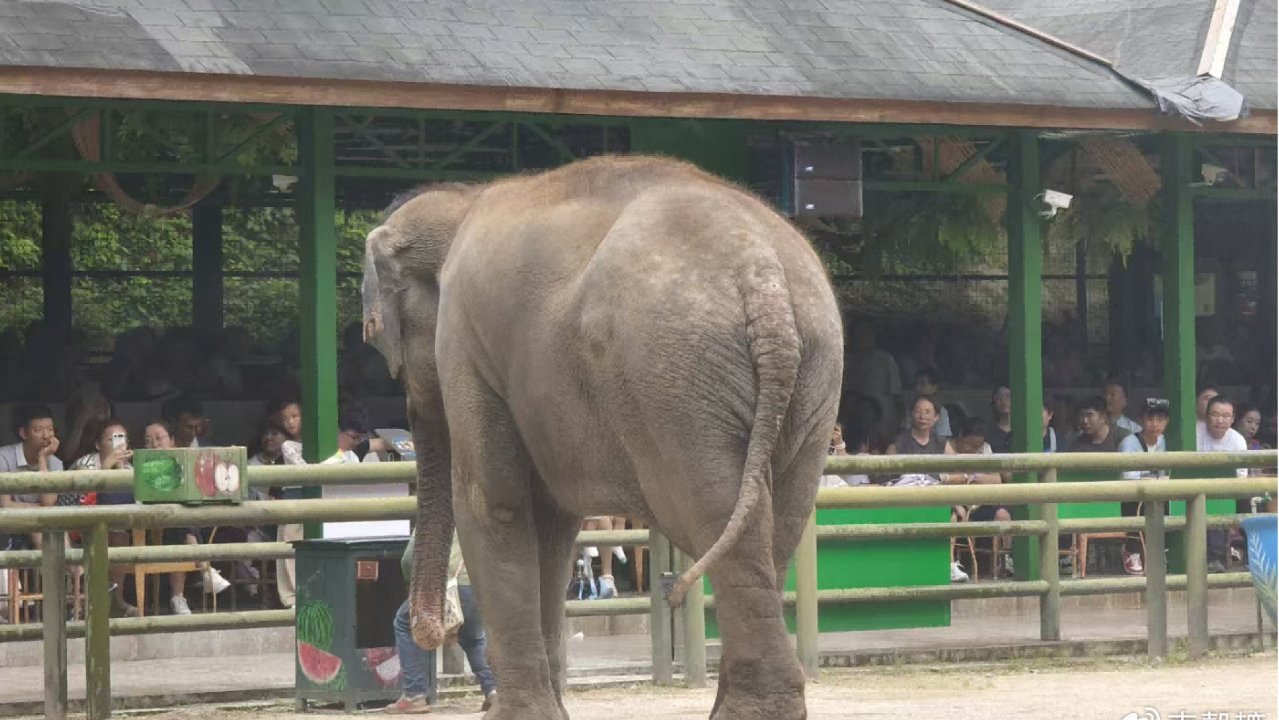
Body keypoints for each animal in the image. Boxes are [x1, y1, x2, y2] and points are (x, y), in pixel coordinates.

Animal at [362, 155, 843, 720]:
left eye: (371, 333)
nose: (430, 628)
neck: (464, 199)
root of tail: (764, 279)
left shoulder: (465, 341)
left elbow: (494, 502)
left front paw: (515, 717)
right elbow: (550, 522)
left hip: (675, 379)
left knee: (716, 514)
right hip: (812, 378)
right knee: (779, 525)